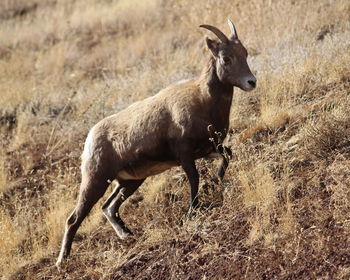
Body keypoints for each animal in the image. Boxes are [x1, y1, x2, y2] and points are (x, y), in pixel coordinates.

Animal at [56, 19, 256, 264]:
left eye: (245, 53)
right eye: (226, 58)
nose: (251, 82)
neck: (204, 101)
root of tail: (90, 138)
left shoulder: (210, 149)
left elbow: (227, 156)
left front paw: (213, 184)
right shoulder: (185, 156)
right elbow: (194, 180)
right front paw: (192, 211)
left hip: (129, 181)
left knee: (108, 207)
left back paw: (126, 234)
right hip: (95, 181)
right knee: (74, 219)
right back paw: (62, 261)